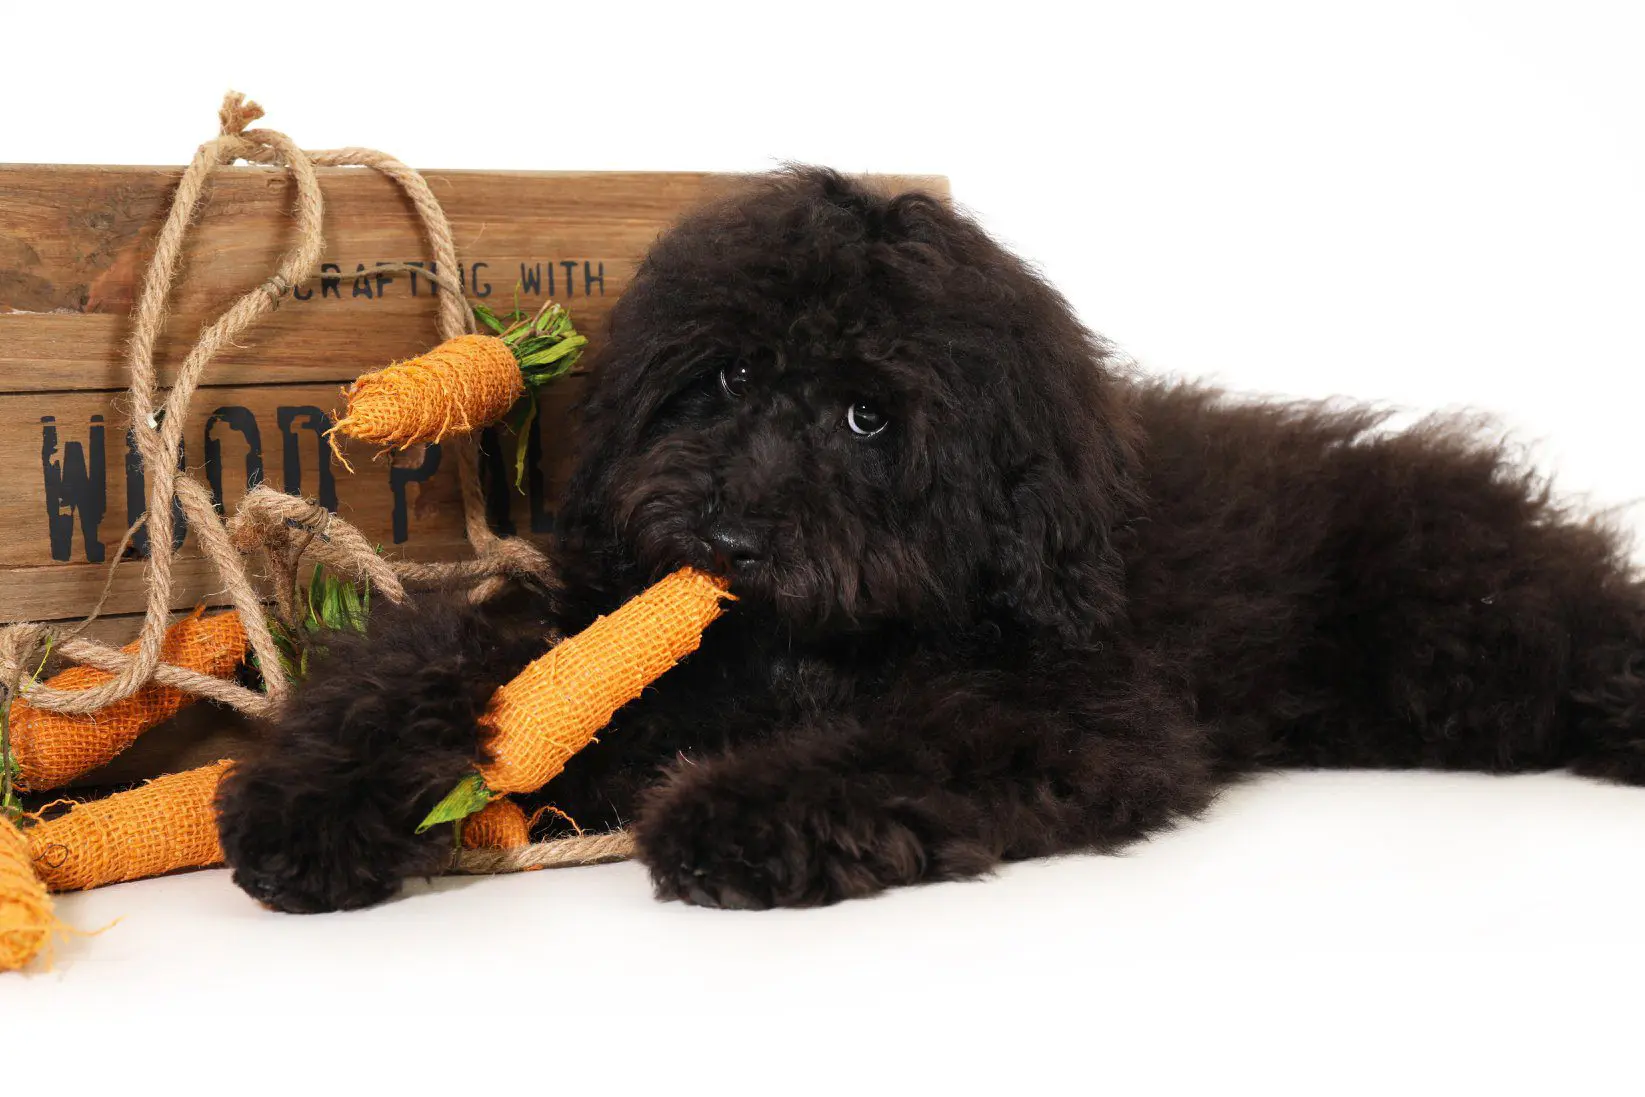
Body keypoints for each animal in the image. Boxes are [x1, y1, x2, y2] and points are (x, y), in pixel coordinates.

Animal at [215, 167, 1645, 914]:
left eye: (869, 414)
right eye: (728, 376)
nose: (728, 529)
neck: (795, 647)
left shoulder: (1067, 714)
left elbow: (896, 745)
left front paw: (735, 814)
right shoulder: (606, 612)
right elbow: (444, 656)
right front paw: (308, 796)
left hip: (1473, 641)